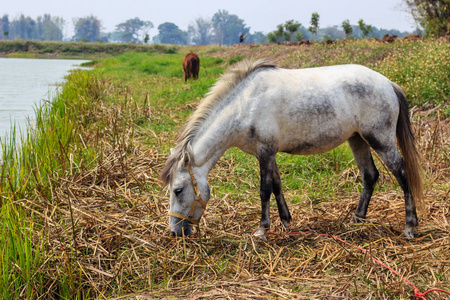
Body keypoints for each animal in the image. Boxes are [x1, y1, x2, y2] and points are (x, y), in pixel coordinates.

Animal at [160, 59, 424, 238]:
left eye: (178, 190)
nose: (175, 232)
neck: (244, 105)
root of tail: (388, 83)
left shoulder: (265, 152)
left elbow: (265, 190)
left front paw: (262, 230)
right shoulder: (266, 153)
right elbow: (277, 186)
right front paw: (286, 222)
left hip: (380, 140)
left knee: (402, 174)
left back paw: (409, 226)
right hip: (357, 139)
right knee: (370, 176)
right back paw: (357, 219)